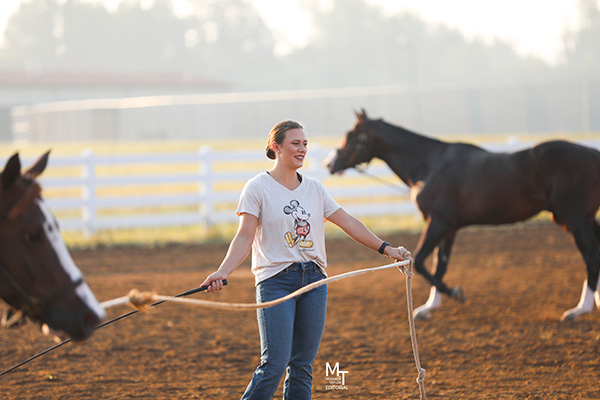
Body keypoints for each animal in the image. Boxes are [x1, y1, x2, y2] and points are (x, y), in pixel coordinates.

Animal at [328, 110, 600, 322]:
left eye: (350, 135)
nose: (331, 163)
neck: (430, 165)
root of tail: (593, 155)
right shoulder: (449, 228)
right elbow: (440, 264)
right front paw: (429, 308)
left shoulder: (438, 222)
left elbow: (423, 261)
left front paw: (455, 294)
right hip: (576, 219)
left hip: (576, 220)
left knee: (591, 257)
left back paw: (580, 309)